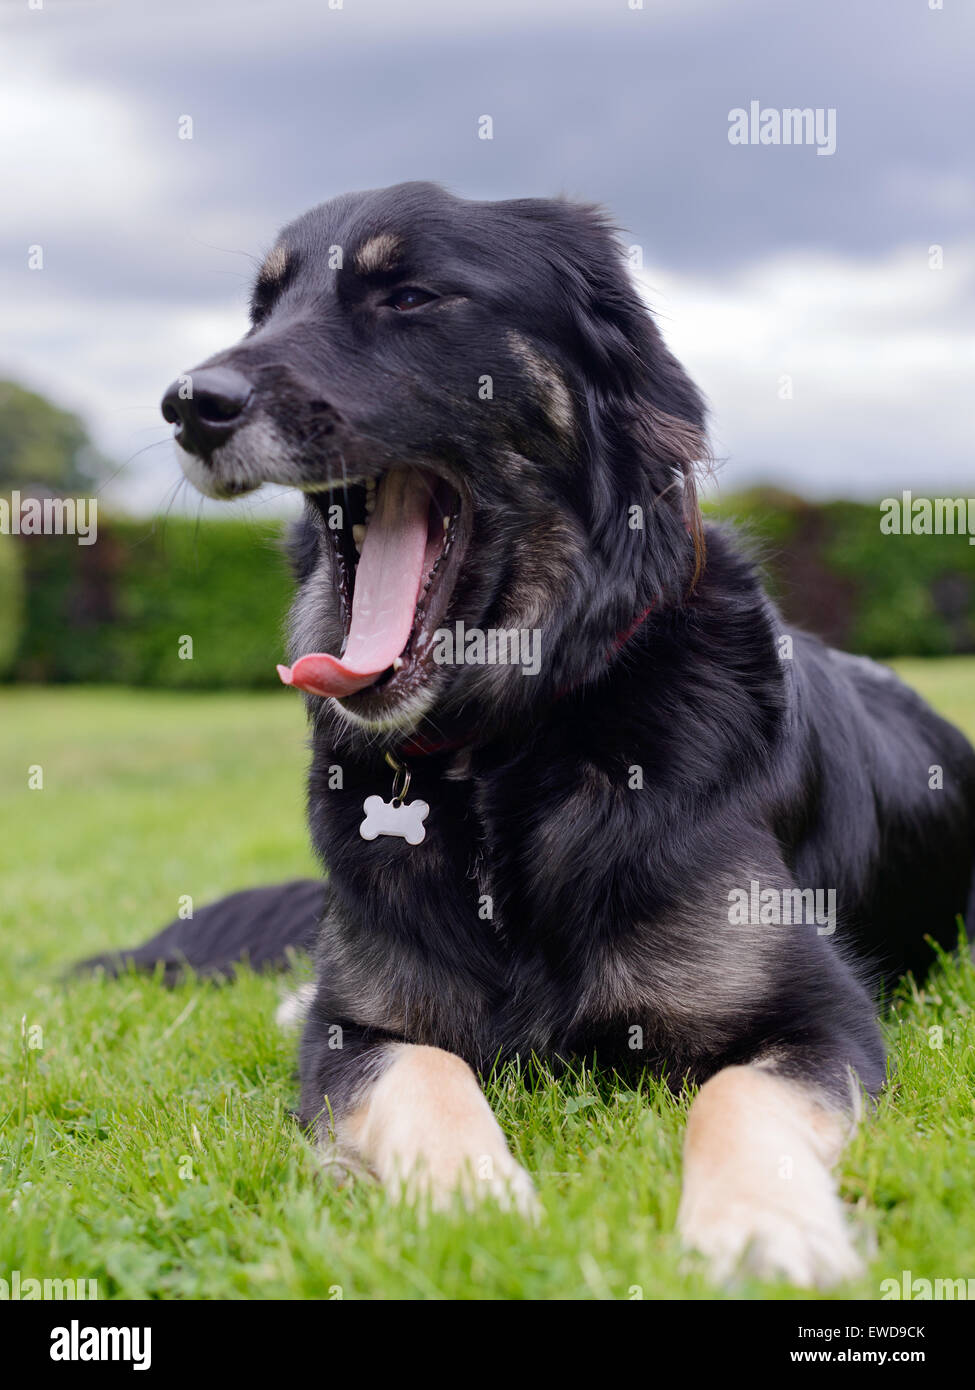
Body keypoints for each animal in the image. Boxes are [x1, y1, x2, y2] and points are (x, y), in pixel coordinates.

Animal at [91, 184, 973, 1289]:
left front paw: (761, 1227)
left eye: (410, 296)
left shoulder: (821, 1015)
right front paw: (464, 1206)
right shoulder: (358, 1031)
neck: (504, 748)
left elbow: (737, 1097)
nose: (189, 404)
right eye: (262, 311)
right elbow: (421, 1071)